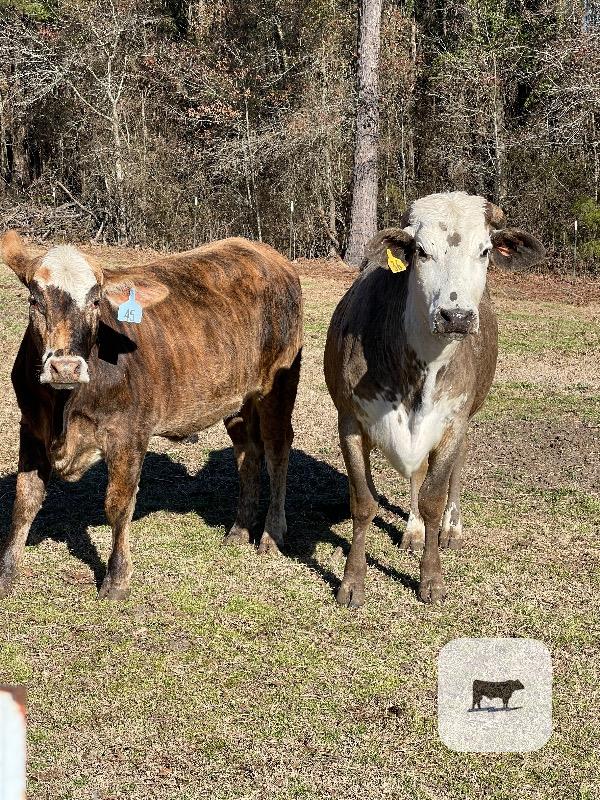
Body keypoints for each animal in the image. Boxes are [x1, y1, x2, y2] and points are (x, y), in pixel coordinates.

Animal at [0, 232, 302, 600]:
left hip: (279, 387)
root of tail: (266, 254)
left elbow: (118, 505)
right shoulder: (30, 427)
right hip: (236, 400)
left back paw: (272, 534)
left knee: (277, 451)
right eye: (34, 299)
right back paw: (239, 530)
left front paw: (117, 581)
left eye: (96, 302)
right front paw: (7, 575)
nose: (65, 367)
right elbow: (24, 502)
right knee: (248, 453)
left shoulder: (129, 434)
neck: (64, 411)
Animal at [324, 191, 545, 606]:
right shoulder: (350, 419)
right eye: (421, 251)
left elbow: (433, 497)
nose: (455, 316)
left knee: (454, 469)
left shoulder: (453, 421)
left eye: (485, 250)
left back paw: (450, 529)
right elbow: (363, 502)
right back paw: (412, 531)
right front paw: (352, 581)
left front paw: (431, 578)